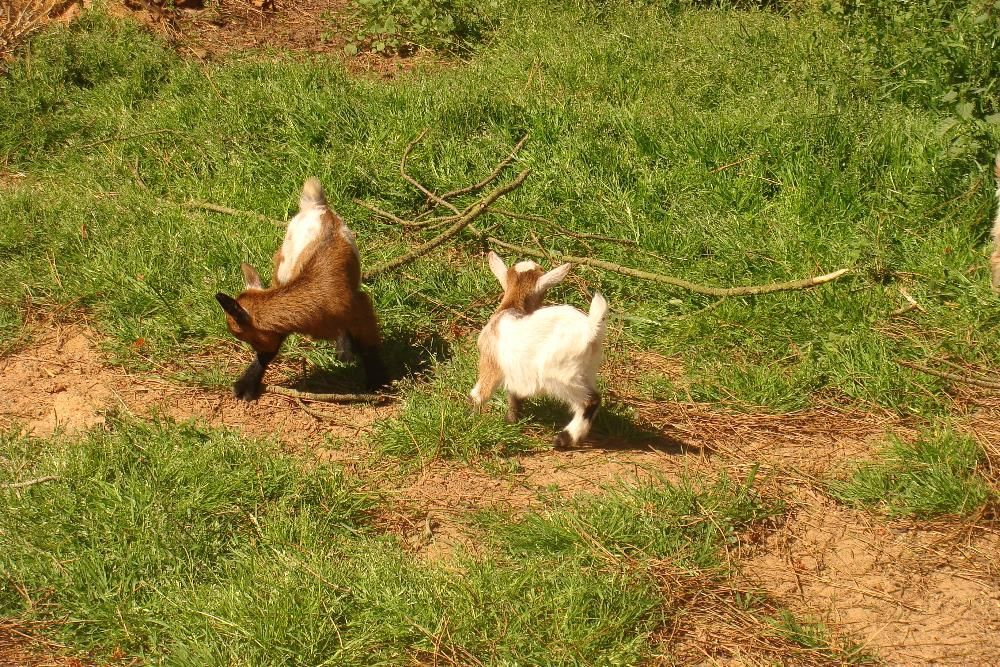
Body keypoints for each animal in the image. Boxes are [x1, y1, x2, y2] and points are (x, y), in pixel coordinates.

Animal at [215, 177, 388, 400]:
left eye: (241, 335)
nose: (257, 351)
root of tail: (318, 206)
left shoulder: (361, 307)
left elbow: (369, 346)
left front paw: (378, 381)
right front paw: (246, 384)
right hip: (284, 265)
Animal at [470, 251, 608, 448]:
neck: (511, 308)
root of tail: (590, 329)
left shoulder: (491, 361)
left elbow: (480, 394)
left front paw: (471, 420)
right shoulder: (516, 371)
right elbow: (515, 396)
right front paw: (511, 421)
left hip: (561, 375)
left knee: (590, 400)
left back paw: (564, 439)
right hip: (587, 372)